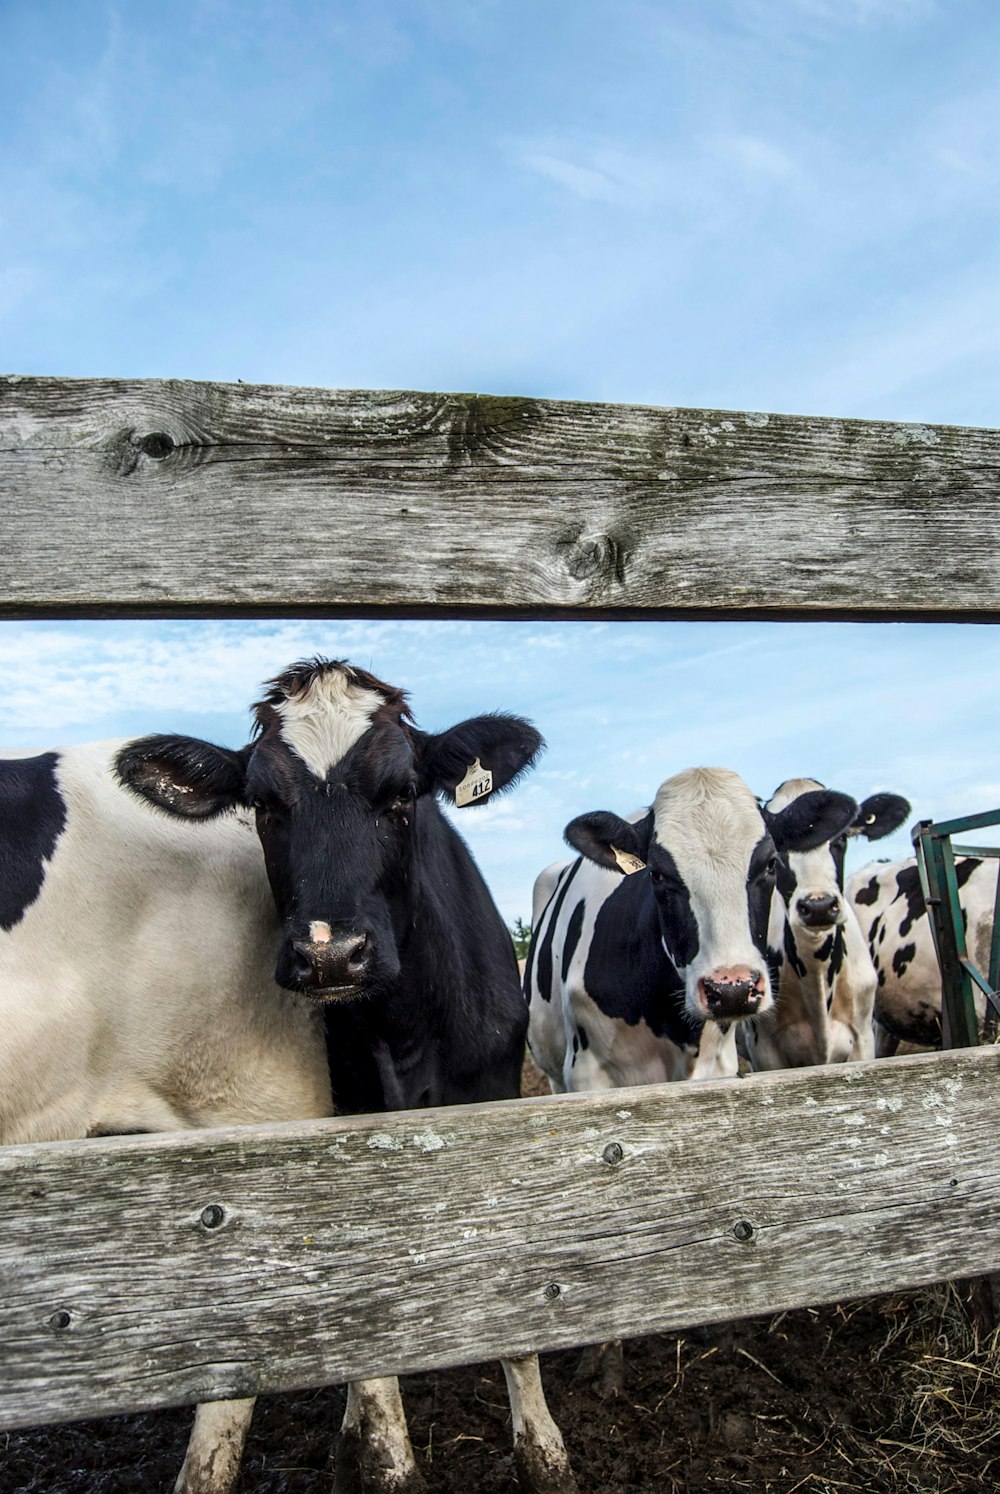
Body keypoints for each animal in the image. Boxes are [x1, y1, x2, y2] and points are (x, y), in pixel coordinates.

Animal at [3, 663, 573, 1494]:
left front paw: (546, 1456)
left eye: (403, 793)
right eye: (265, 803)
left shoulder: (498, 1107)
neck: (411, 1039)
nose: (331, 955)